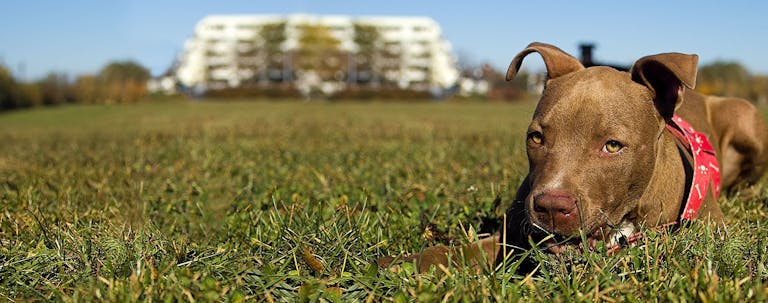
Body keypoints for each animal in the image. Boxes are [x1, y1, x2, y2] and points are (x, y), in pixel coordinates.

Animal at [380, 42, 768, 274]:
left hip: (746, 116)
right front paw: (389, 266)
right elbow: (448, 253)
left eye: (613, 146)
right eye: (536, 138)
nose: (552, 207)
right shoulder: (511, 238)